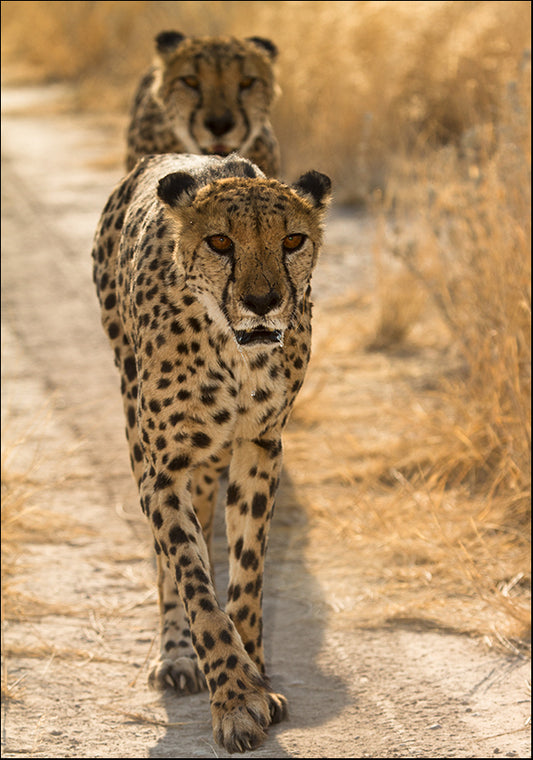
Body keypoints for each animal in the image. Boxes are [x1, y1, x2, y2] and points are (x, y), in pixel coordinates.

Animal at [91, 152, 331, 753]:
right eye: (220, 242)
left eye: (293, 240)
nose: (263, 301)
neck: (235, 352)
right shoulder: (164, 470)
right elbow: (194, 582)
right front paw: (235, 698)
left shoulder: (260, 445)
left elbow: (246, 573)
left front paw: (257, 678)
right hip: (135, 422)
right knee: (167, 563)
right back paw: (177, 655)